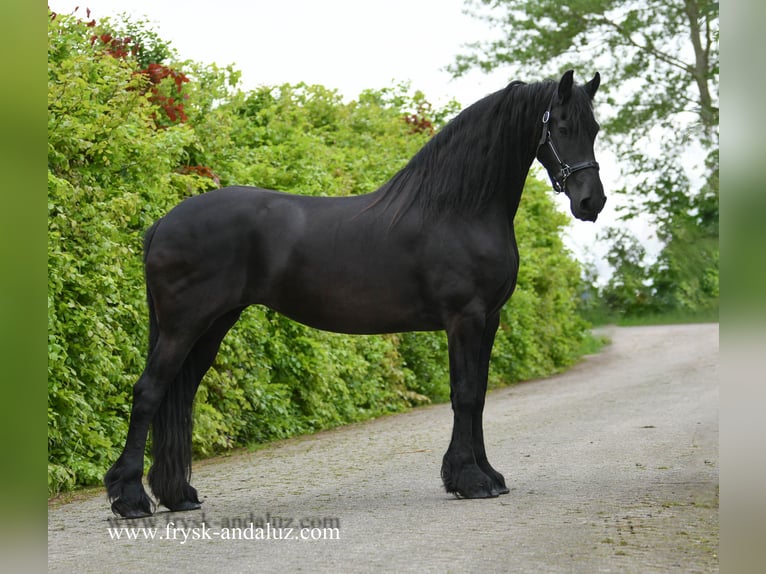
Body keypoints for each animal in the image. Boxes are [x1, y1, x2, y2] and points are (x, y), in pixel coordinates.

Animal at [105, 70, 608, 520]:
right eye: (563, 127)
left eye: (596, 129)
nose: (592, 203)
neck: (458, 210)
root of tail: (162, 223)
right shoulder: (464, 318)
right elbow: (465, 394)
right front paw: (470, 480)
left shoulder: (489, 320)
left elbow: (480, 394)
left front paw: (486, 475)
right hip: (182, 326)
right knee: (149, 392)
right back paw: (131, 500)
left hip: (212, 325)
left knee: (180, 394)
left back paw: (177, 494)